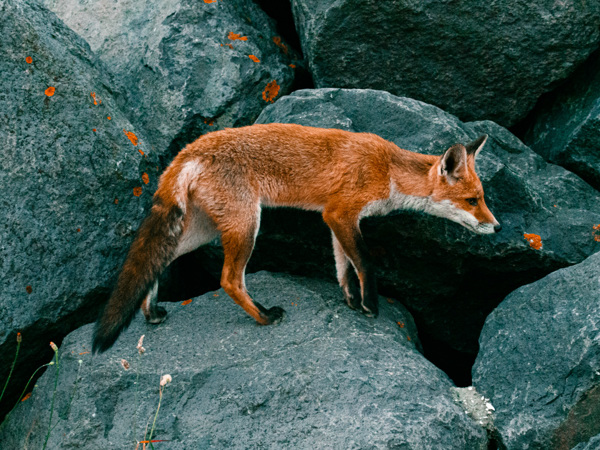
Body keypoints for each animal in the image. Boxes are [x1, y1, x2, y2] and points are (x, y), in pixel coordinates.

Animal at [91, 122, 500, 352]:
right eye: (473, 200)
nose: (496, 227)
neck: (389, 170)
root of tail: (189, 150)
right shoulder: (341, 212)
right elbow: (365, 262)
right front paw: (370, 305)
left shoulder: (335, 218)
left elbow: (343, 265)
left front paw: (350, 300)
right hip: (246, 225)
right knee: (229, 280)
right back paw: (264, 317)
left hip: (203, 230)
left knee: (163, 259)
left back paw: (151, 312)